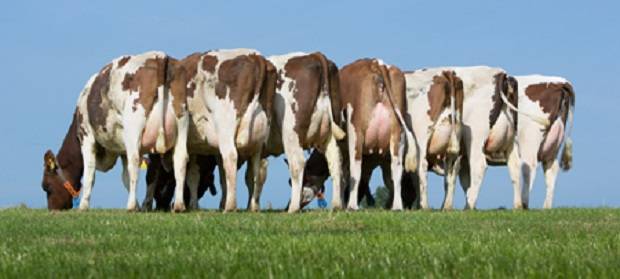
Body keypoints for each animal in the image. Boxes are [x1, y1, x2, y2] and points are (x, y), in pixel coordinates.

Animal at [40, 51, 189, 211]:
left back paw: (131, 206)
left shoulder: (86, 135)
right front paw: (138, 205)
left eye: (46, 187)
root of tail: (159, 56)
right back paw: (178, 205)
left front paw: (83, 206)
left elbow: (89, 173)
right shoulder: (122, 149)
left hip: (133, 126)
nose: (52, 210)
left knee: (135, 161)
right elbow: (125, 177)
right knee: (180, 160)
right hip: (182, 122)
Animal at [178, 49, 278, 212]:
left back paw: (230, 206)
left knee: (231, 157)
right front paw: (194, 205)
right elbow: (197, 174)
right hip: (259, 139)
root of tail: (255, 56)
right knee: (255, 168)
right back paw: (252, 206)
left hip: (226, 128)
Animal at [336, 59, 418, 212]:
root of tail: (376, 63)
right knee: (397, 169)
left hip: (356, 131)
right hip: (398, 133)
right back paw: (397, 206)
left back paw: (352, 205)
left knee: (356, 168)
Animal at [404, 69, 462, 210]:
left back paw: (425, 205)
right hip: (454, 139)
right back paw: (446, 206)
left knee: (422, 166)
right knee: (451, 173)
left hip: (422, 136)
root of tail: (445, 73)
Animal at [512, 75, 576, 209]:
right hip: (554, 142)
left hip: (528, 138)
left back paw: (523, 203)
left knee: (528, 167)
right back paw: (546, 206)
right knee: (551, 169)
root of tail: (561, 82)